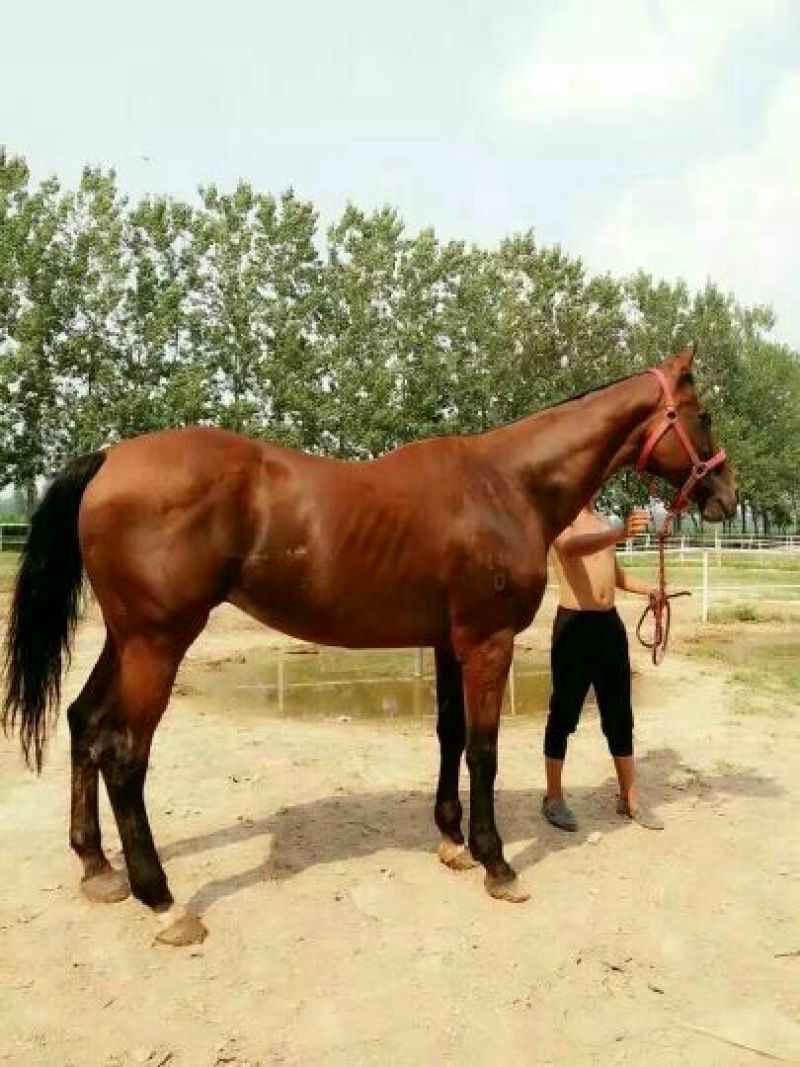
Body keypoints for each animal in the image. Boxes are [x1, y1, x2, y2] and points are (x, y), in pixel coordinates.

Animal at [2, 346, 737, 945]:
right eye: (700, 414)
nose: (727, 495)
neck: (507, 485)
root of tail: (109, 460)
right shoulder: (488, 642)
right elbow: (486, 749)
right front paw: (496, 861)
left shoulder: (447, 642)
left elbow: (449, 735)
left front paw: (451, 840)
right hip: (158, 641)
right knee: (125, 754)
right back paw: (163, 902)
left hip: (126, 638)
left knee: (85, 725)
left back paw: (97, 868)